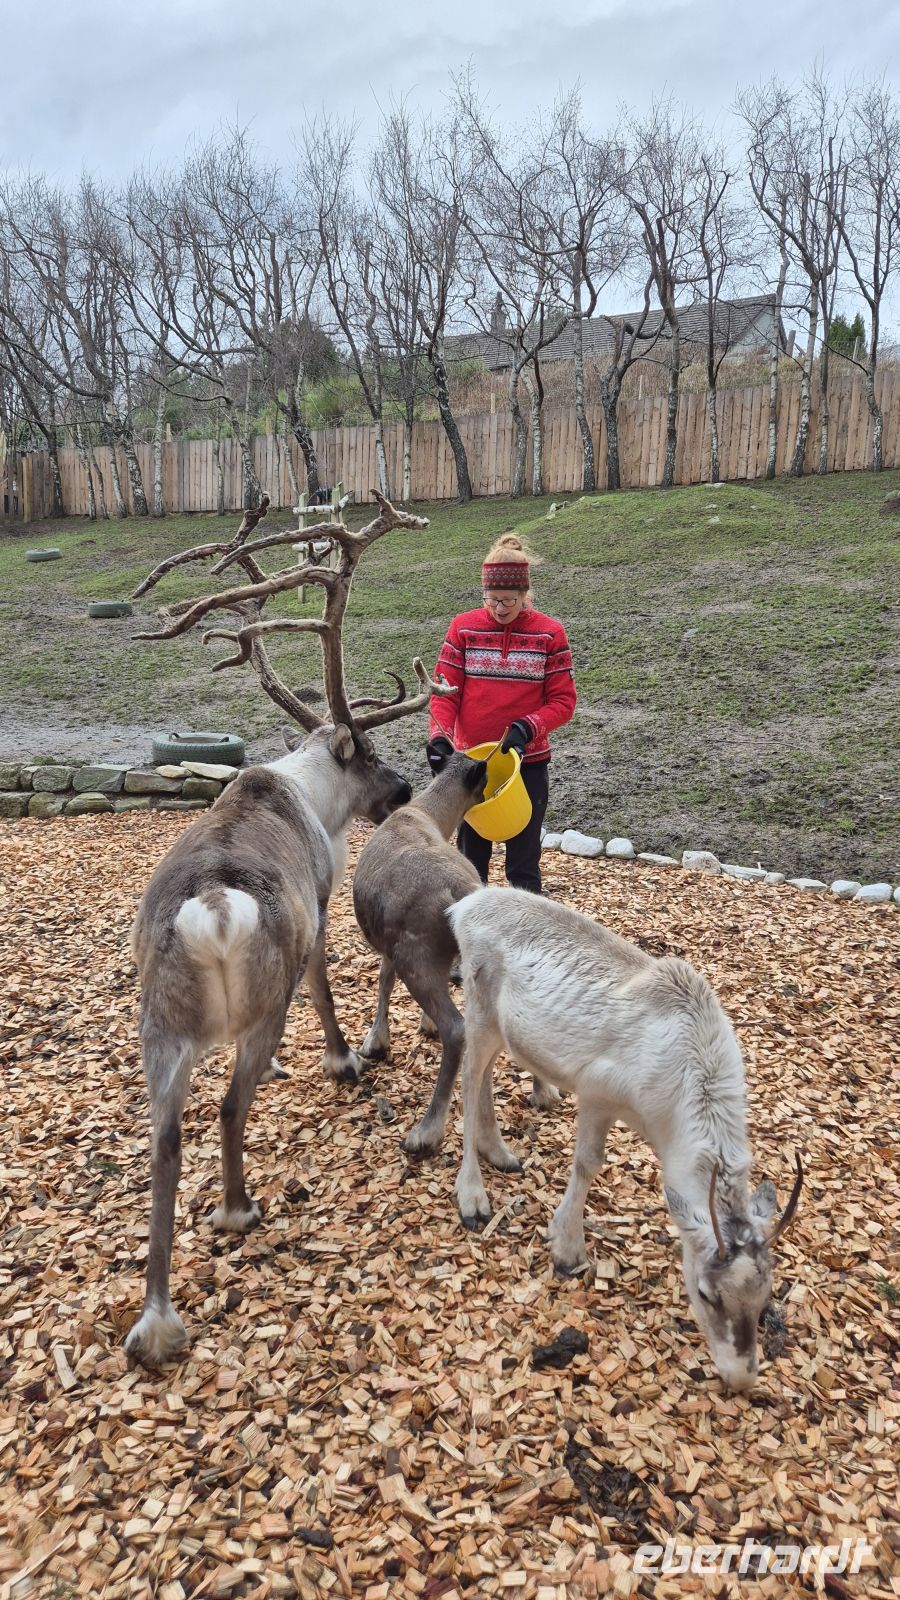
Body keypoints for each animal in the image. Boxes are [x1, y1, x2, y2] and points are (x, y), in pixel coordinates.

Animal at [124, 492, 454, 1366]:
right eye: (368, 752)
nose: (402, 786)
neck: (307, 790)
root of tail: (209, 908)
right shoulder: (319, 910)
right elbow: (326, 985)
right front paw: (344, 1059)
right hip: (258, 1000)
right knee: (227, 1106)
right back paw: (239, 1208)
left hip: (161, 1026)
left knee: (165, 1141)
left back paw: (155, 1320)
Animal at [449, 888, 804, 1392]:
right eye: (705, 1293)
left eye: (766, 1295)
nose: (740, 1378)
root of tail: (464, 906)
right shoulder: (597, 1091)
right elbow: (587, 1163)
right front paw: (566, 1248)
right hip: (478, 1009)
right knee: (468, 1074)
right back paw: (473, 1195)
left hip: (501, 1028)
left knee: (486, 1074)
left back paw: (498, 1151)